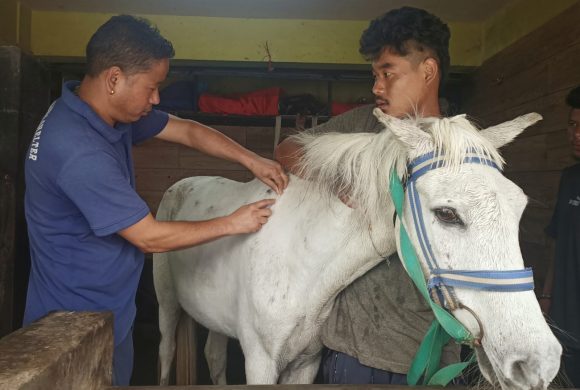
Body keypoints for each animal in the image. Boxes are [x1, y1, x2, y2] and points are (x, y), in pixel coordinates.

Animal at [154, 110, 560, 390]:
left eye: (520, 207)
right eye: (447, 214)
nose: (540, 362)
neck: (300, 260)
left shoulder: (306, 362)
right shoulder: (260, 362)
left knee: (214, 356)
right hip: (168, 307)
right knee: (166, 351)